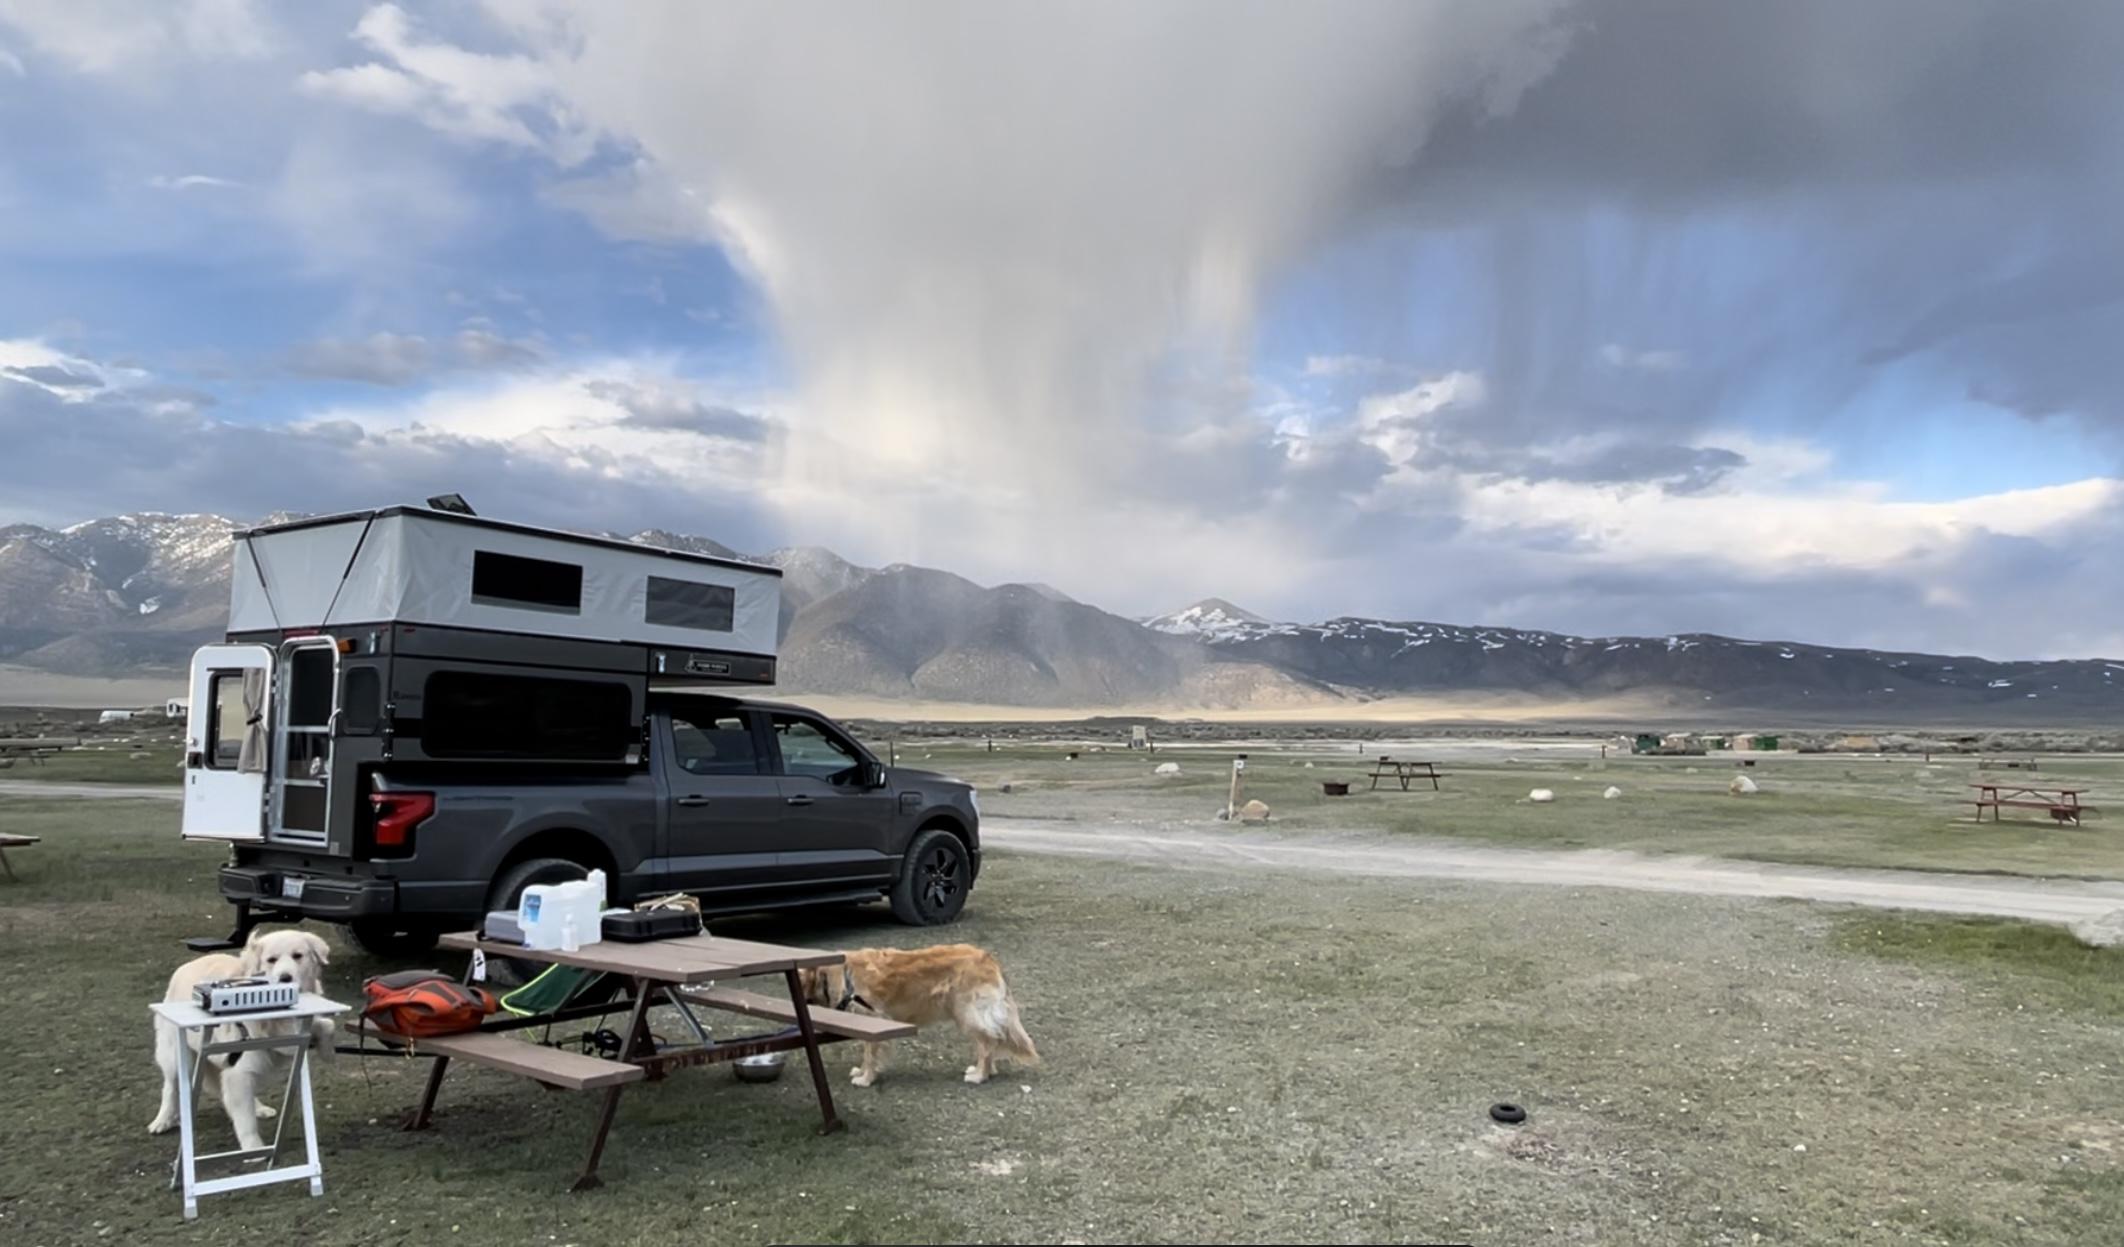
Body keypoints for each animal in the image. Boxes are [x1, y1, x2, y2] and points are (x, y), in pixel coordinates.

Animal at [149, 926, 335, 1155]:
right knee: (170, 1087)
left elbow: (327, 1024)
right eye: (271, 960)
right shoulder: (239, 1068)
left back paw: (259, 1108)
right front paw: (253, 1149)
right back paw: (163, 1120)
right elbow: (245, 1122)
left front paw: (327, 1052)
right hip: (178, 1058)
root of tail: (185, 966)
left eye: (297, 956)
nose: (285, 977)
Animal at [798, 951, 1040, 1087]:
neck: (841, 974)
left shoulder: (874, 1018)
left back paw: (981, 1075)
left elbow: (870, 1054)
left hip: (968, 1014)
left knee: (988, 1043)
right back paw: (984, 1071)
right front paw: (862, 1071)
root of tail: (989, 959)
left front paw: (866, 1079)